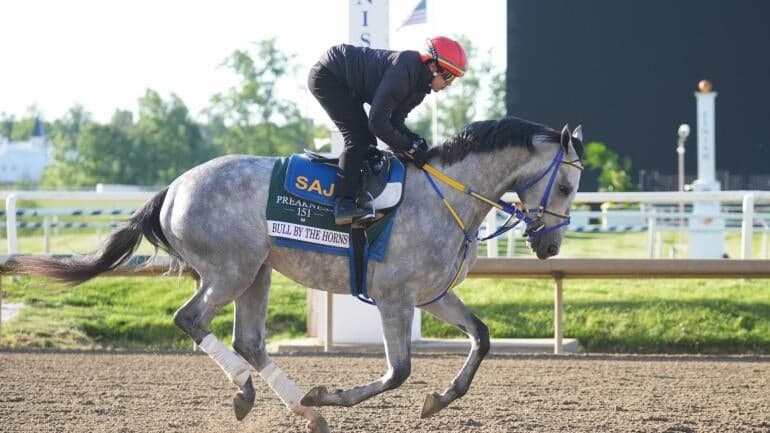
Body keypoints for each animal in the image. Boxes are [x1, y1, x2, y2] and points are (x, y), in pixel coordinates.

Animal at [14, 116, 584, 433]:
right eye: (565, 187)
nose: (551, 245)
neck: (448, 195)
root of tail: (172, 188)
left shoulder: (432, 296)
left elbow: (482, 338)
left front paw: (439, 399)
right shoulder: (395, 296)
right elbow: (398, 371)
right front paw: (330, 394)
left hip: (257, 274)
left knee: (248, 341)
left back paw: (304, 413)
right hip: (232, 269)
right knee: (191, 319)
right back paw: (255, 394)